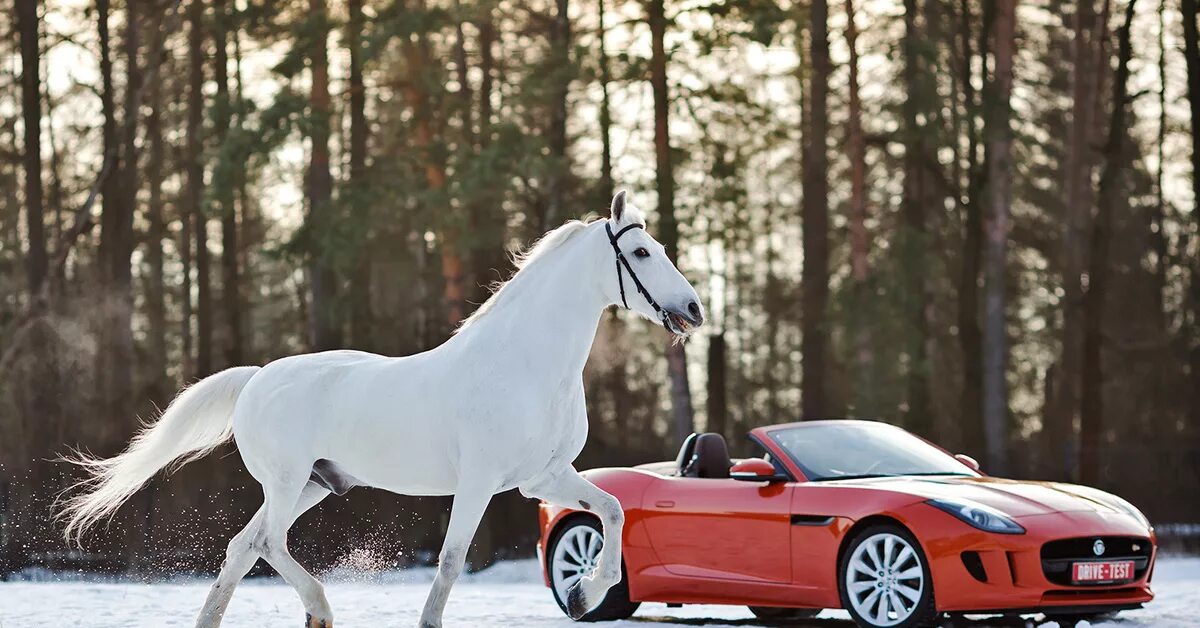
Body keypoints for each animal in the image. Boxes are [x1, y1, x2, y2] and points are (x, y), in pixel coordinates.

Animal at [58, 192, 700, 628]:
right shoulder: (480, 483)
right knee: (268, 544)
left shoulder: (542, 477)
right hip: (287, 482)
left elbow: (612, 510)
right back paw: (319, 607)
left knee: (244, 547)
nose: (693, 308)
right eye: (641, 251)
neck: (524, 367)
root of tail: (258, 379)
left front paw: (586, 595)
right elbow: (450, 561)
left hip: (313, 485)